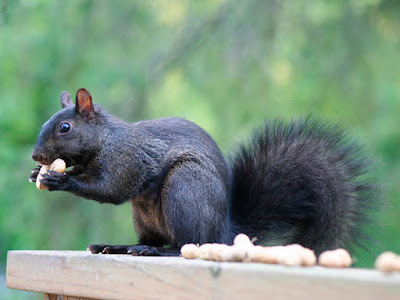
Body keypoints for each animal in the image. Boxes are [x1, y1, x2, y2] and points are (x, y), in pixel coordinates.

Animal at [29, 88, 380, 256]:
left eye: (64, 127)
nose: (36, 154)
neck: (105, 138)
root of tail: (223, 231)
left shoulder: (125, 159)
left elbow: (110, 188)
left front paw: (59, 178)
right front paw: (37, 173)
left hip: (186, 188)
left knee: (188, 245)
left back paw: (153, 251)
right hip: (144, 215)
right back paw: (119, 246)